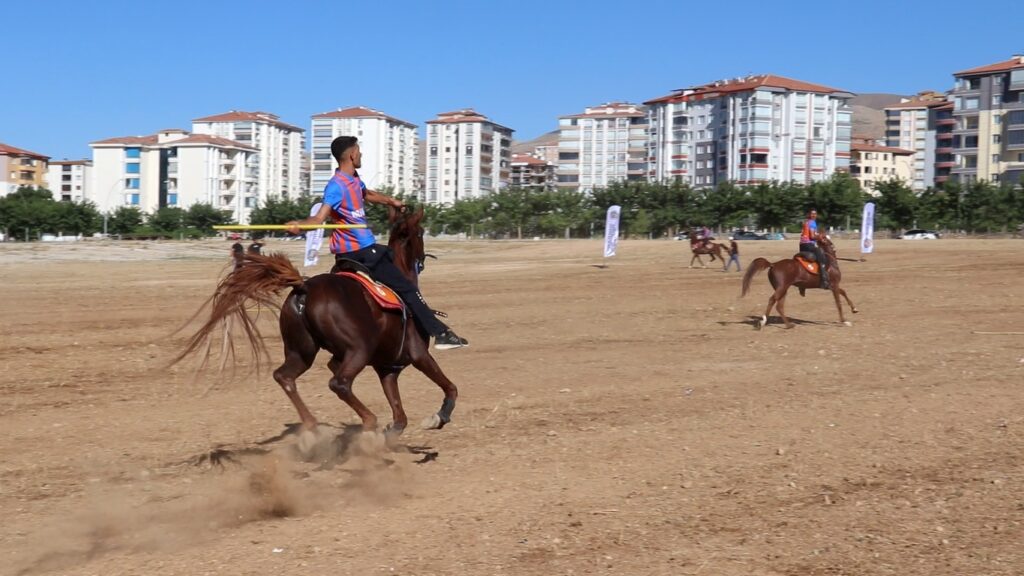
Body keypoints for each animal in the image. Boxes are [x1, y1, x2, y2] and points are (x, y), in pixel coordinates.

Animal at [176, 206, 456, 434]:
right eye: (420, 232)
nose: (422, 258)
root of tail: (304, 288)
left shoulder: (387, 369)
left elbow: (400, 418)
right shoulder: (418, 355)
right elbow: (449, 387)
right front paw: (439, 416)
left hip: (302, 350)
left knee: (284, 377)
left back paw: (312, 426)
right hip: (358, 350)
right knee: (339, 383)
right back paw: (367, 420)